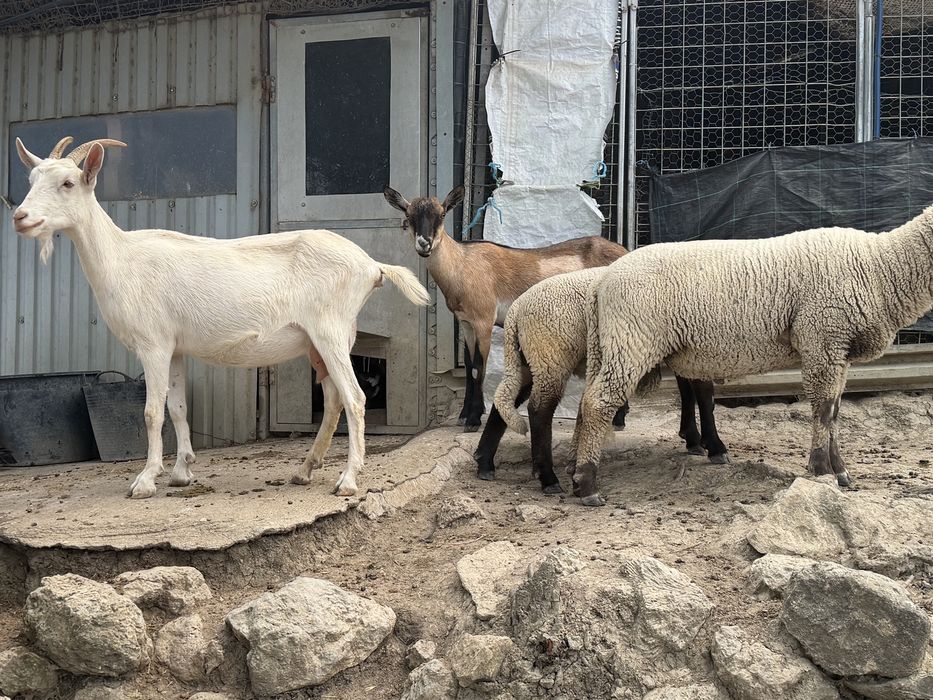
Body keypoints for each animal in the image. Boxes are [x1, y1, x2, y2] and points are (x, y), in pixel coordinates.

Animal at [13, 136, 429, 499]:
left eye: (68, 183)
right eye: (31, 180)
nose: (20, 217)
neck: (121, 258)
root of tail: (372, 266)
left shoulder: (153, 343)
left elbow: (151, 412)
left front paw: (144, 481)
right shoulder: (175, 348)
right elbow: (177, 408)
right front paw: (181, 472)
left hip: (331, 330)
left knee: (355, 398)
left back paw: (347, 480)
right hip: (320, 341)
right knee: (332, 399)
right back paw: (305, 469)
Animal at [383, 185, 627, 431]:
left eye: (442, 214)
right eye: (408, 215)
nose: (424, 244)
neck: (462, 265)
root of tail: (626, 253)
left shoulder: (484, 320)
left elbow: (478, 368)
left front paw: (473, 420)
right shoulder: (466, 323)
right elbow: (469, 367)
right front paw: (465, 415)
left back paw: (618, 419)